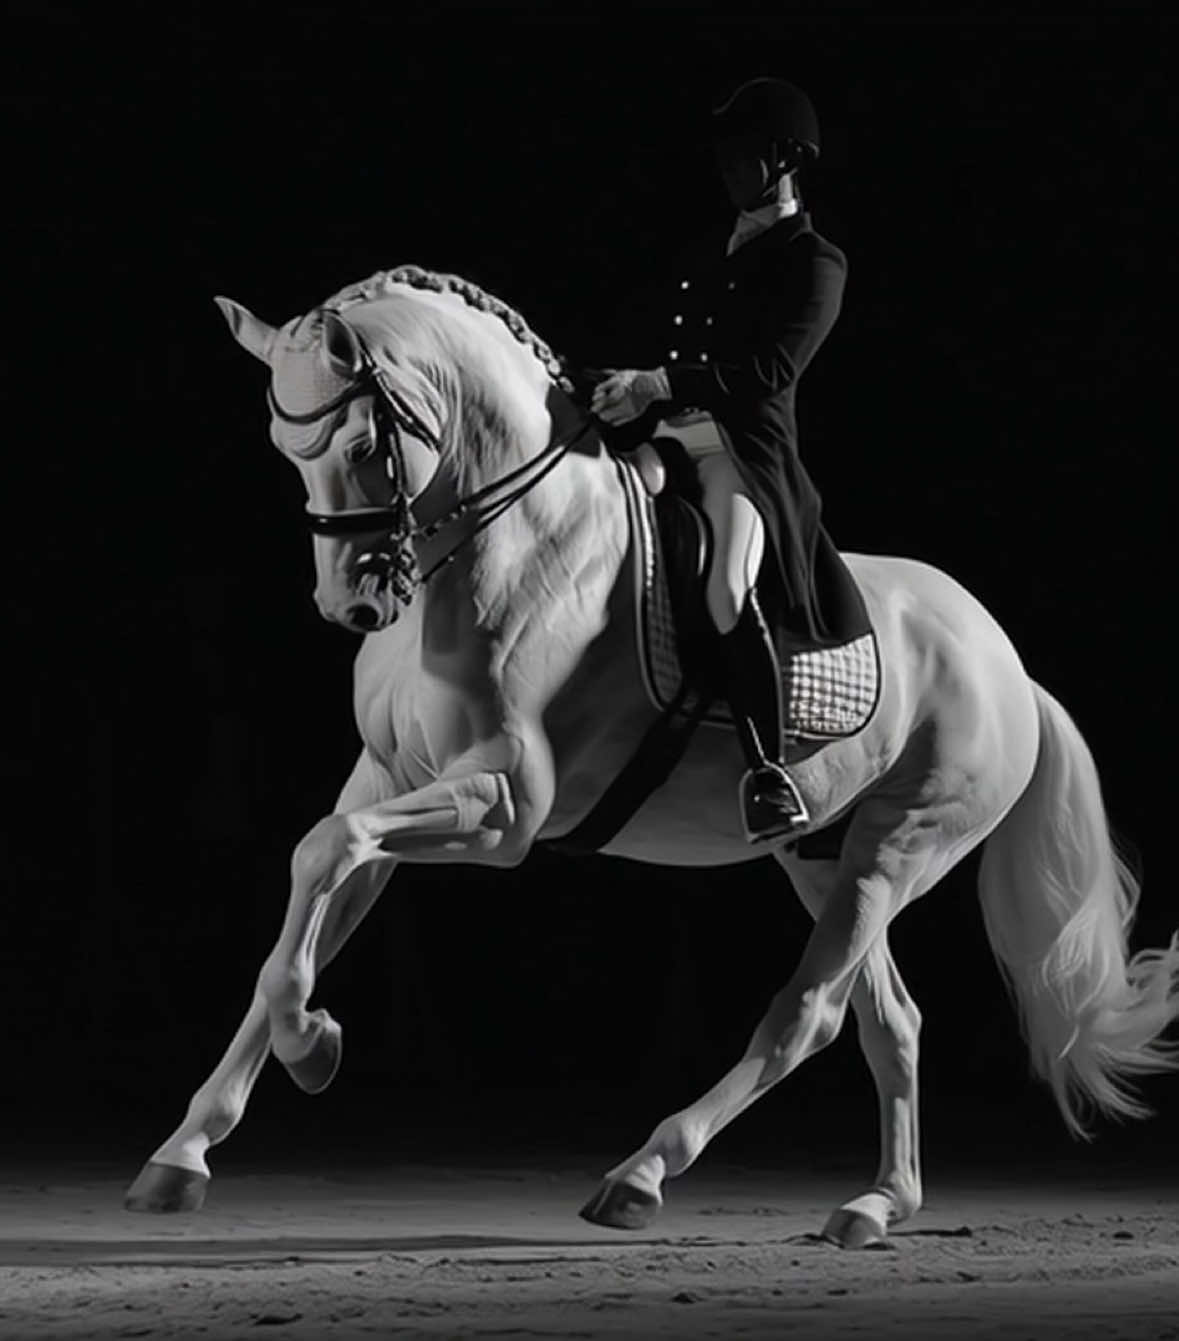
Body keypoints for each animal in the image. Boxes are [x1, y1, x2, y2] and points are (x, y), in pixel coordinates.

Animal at [124, 264, 1179, 1247]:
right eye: (283, 451)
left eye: (358, 445)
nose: (351, 605)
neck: (506, 546)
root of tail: (1008, 664)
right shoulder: (389, 777)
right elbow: (309, 894)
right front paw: (188, 1147)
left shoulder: (504, 806)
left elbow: (326, 846)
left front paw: (313, 1044)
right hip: (824, 855)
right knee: (890, 1021)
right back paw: (876, 1203)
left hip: (905, 841)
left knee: (808, 1014)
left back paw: (644, 1171)